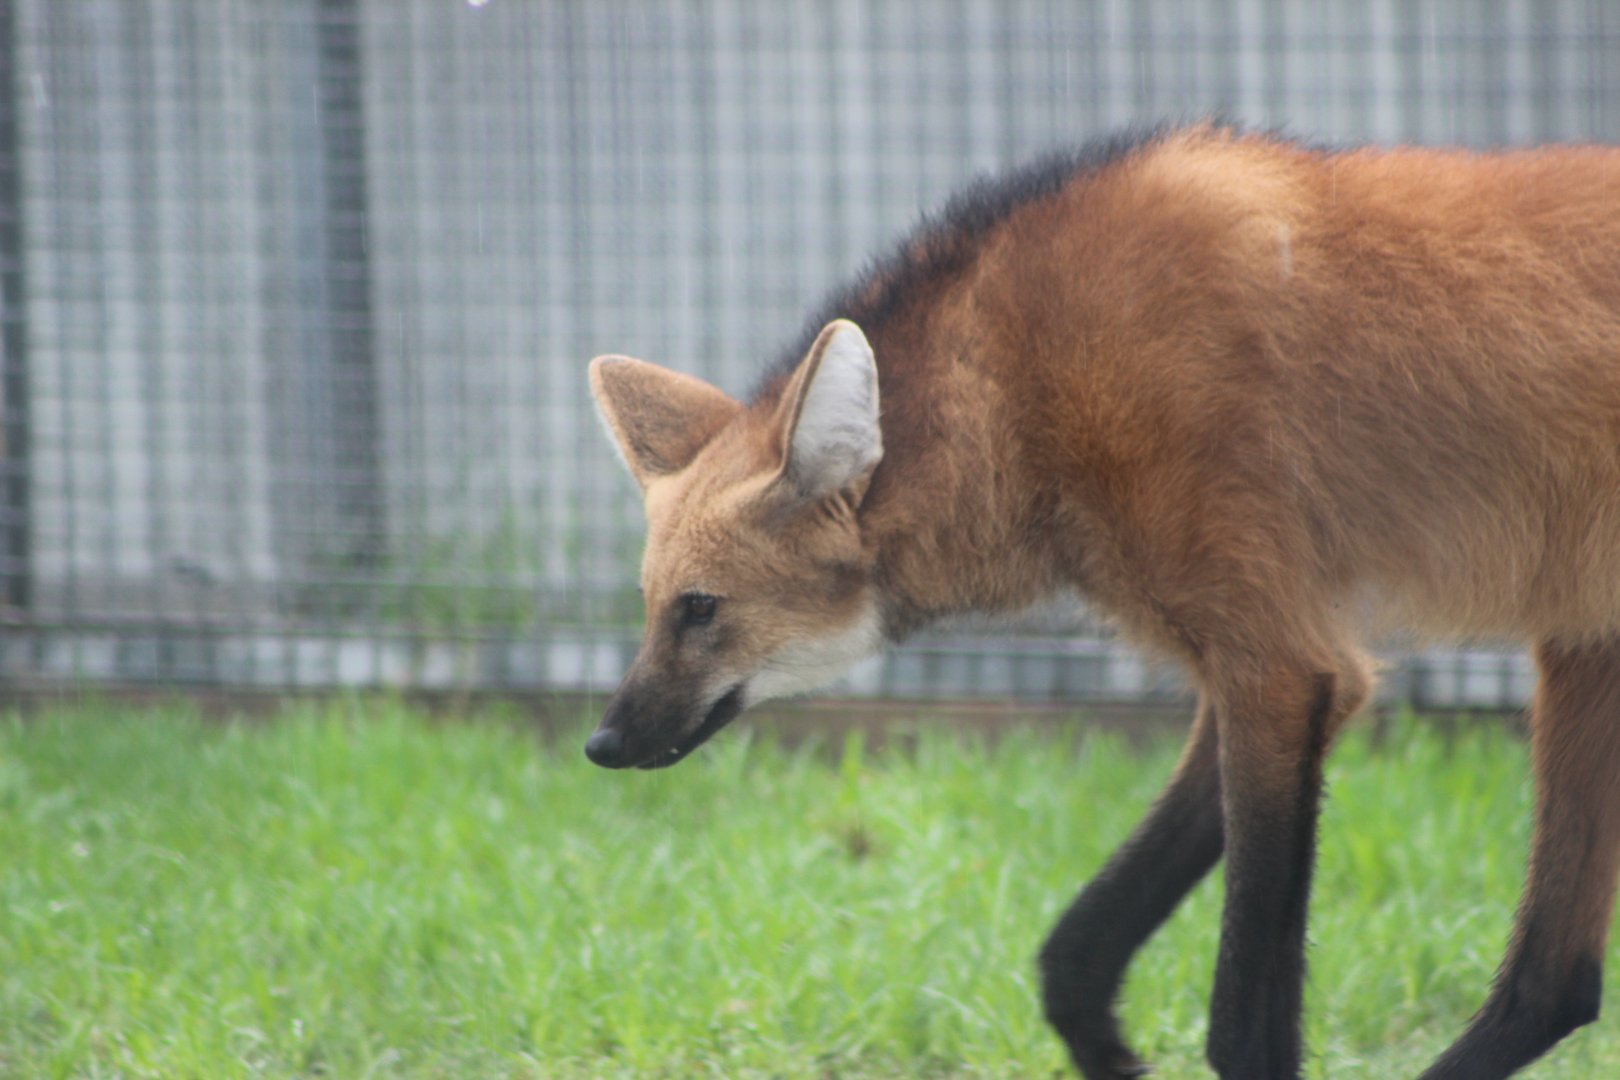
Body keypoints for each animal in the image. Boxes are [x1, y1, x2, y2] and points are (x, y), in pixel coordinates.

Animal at [584, 123, 1620, 1079]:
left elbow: (1241, 1026)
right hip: (1581, 642)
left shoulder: (1282, 669)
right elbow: (1074, 955)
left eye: (700, 609)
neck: (1024, 385)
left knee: (1550, 978)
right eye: (652, 604)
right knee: (1555, 983)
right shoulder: (1271, 673)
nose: (602, 743)